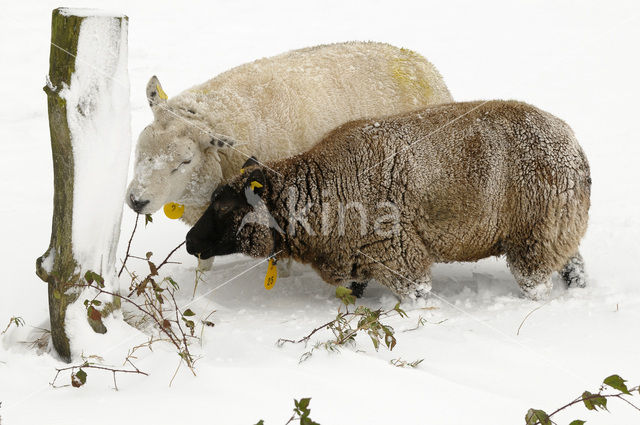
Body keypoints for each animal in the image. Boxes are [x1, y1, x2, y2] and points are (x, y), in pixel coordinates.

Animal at [184, 100, 592, 300]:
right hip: (558, 228)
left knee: (538, 285)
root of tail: (573, 144)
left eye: (224, 206)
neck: (322, 189)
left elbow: (417, 297)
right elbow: (351, 294)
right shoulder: (354, 255)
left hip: (534, 236)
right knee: (575, 267)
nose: (189, 243)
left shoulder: (398, 254)